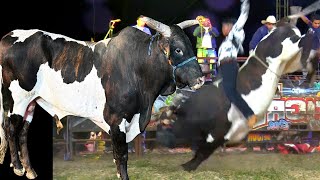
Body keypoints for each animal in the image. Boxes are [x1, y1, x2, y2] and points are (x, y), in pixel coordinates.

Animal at [0, 16, 205, 179]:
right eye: (177, 50)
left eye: (190, 45)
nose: (201, 79)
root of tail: (9, 36)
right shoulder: (116, 119)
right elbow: (121, 156)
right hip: (17, 100)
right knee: (11, 128)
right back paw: (18, 167)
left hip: (31, 102)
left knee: (23, 132)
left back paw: (30, 171)